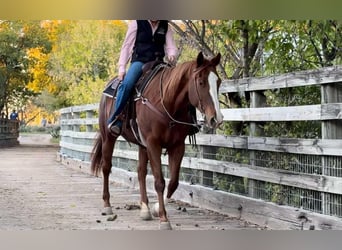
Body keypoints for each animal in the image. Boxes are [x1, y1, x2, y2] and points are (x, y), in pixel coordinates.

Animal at [91, 51, 223, 229]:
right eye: (201, 82)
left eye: (218, 82)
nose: (217, 118)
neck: (166, 102)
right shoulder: (154, 144)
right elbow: (159, 181)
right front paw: (164, 219)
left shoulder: (177, 146)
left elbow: (173, 182)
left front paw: (155, 209)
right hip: (108, 137)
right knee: (106, 167)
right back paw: (107, 205)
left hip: (142, 145)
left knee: (140, 172)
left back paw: (145, 209)